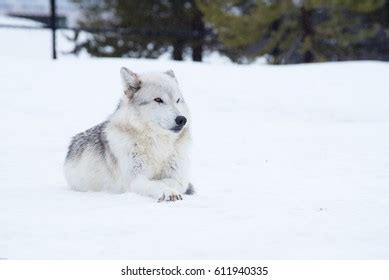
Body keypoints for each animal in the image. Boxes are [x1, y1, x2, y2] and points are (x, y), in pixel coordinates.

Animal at [63, 68, 194, 203]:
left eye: (178, 100)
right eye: (158, 100)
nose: (182, 119)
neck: (158, 144)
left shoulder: (178, 177)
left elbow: (171, 181)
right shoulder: (134, 179)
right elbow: (155, 183)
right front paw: (168, 192)